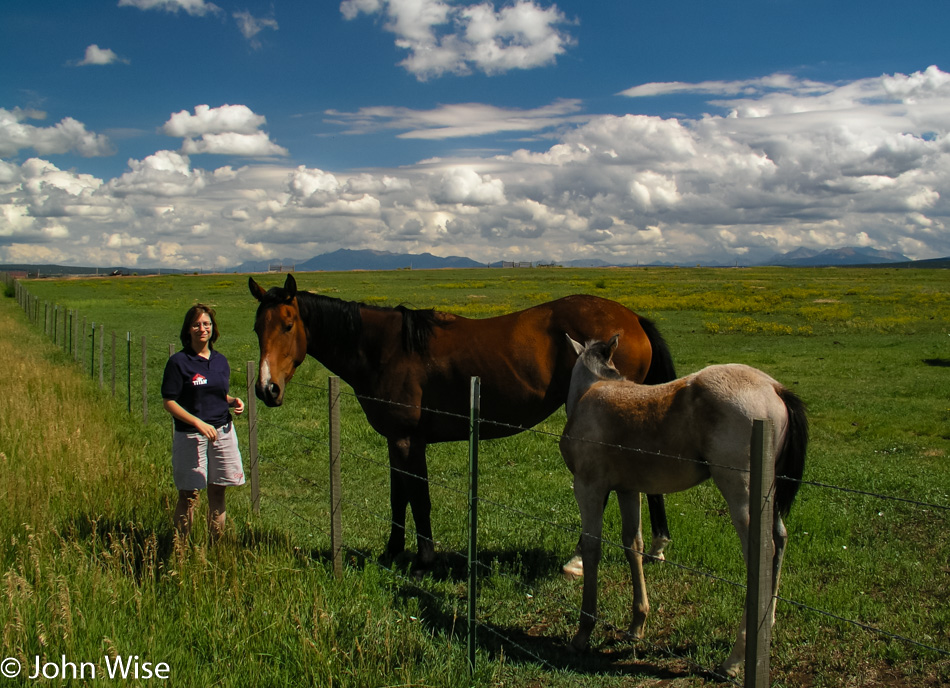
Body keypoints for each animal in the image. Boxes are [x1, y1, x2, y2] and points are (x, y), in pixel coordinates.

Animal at [249, 272, 680, 568]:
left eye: (288, 324)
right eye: (257, 327)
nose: (267, 388)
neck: (386, 348)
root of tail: (632, 319)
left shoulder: (405, 439)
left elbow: (414, 497)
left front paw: (420, 558)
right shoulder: (399, 440)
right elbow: (402, 497)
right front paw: (397, 552)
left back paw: (582, 557)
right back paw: (657, 547)